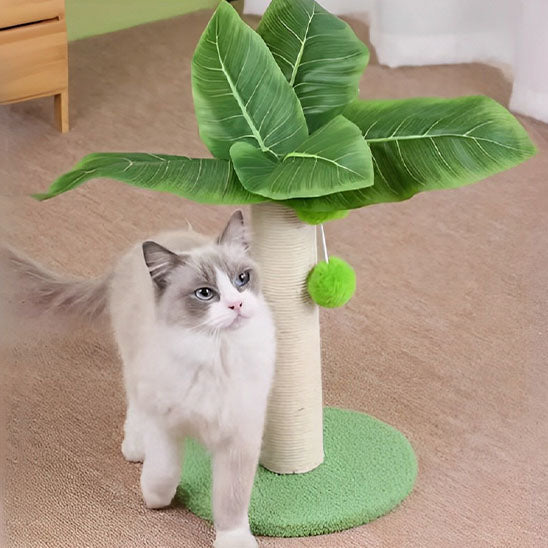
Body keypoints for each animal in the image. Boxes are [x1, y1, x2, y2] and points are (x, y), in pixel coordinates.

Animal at [3, 211, 278, 548]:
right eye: (205, 293)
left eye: (242, 279)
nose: (236, 305)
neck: (215, 353)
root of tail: (132, 250)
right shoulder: (165, 424)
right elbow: (163, 472)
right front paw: (155, 499)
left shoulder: (238, 437)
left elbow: (231, 500)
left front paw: (233, 539)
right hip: (134, 365)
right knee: (135, 406)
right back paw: (135, 447)